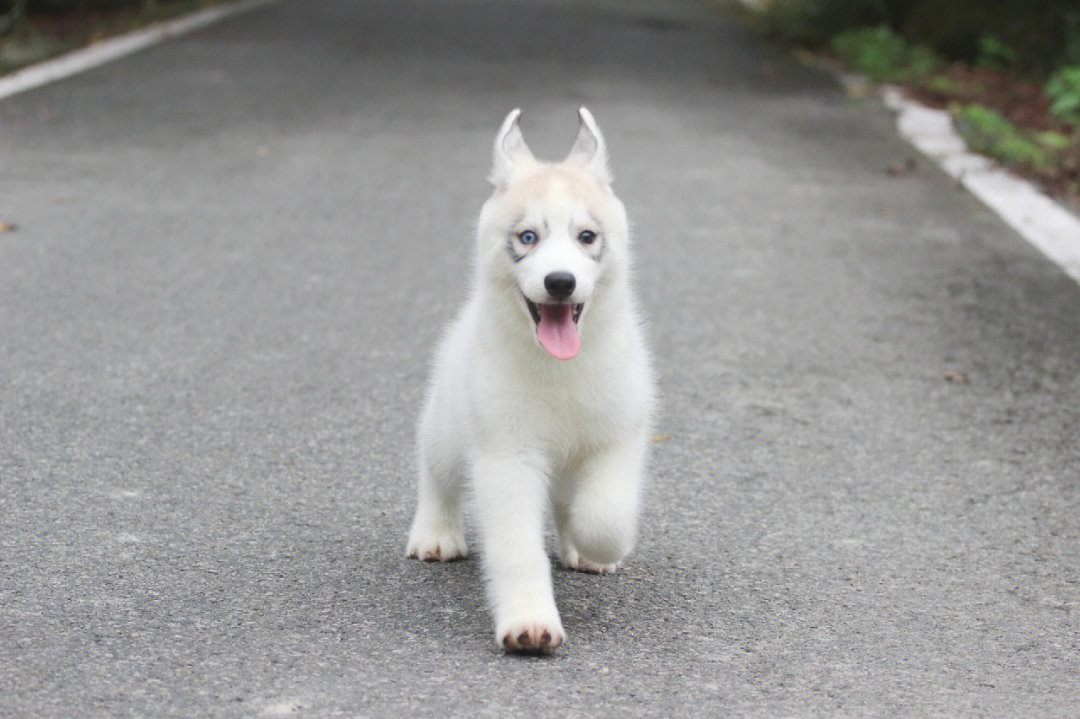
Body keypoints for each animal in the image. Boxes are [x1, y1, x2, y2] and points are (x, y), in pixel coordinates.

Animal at [406, 106, 652, 647]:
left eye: (586, 236)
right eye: (527, 237)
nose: (559, 282)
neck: (560, 369)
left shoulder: (619, 437)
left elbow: (605, 515)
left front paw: (589, 542)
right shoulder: (507, 457)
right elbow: (518, 550)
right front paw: (529, 621)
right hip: (448, 430)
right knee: (436, 474)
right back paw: (434, 533)